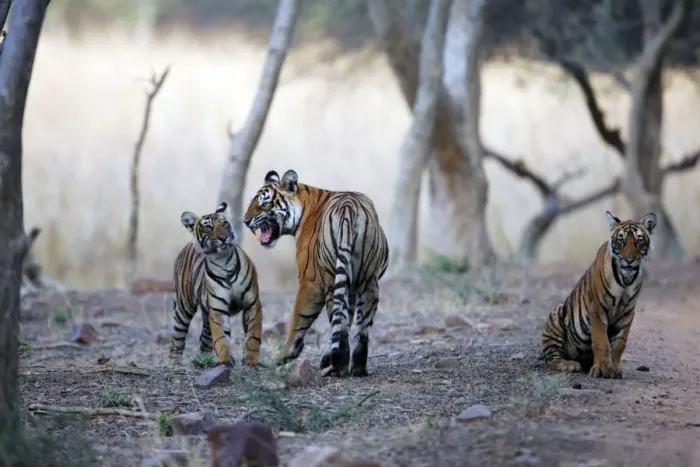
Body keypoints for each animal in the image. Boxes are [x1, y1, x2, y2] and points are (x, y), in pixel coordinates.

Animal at [169, 202, 263, 367]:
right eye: (208, 227)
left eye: (225, 224)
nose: (223, 237)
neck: (223, 261)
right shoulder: (218, 309)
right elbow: (221, 337)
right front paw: (224, 360)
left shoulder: (253, 304)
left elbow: (253, 335)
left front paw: (251, 361)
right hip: (183, 308)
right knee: (177, 339)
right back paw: (175, 365)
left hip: (205, 315)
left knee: (204, 339)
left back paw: (205, 360)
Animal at [243, 169, 389, 377]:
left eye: (265, 204)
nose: (246, 221)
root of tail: (349, 208)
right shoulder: (352, 286)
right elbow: (349, 319)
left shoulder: (309, 280)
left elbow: (298, 317)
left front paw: (283, 355)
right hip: (368, 281)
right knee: (360, 328)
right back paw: (357, 367)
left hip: (330, 278)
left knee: (339, 323)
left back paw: (337, 368)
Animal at [541, 210, 657, 379]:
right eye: (621, 241)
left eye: (638, 242)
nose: (628, 260)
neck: (626, 279)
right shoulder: (598, 308)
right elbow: (601, 340)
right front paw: (602, 369)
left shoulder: (628, 312)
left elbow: (619, 344)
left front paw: (615, 369)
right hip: (556, 315)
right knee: (552, 357)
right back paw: (569, 365)